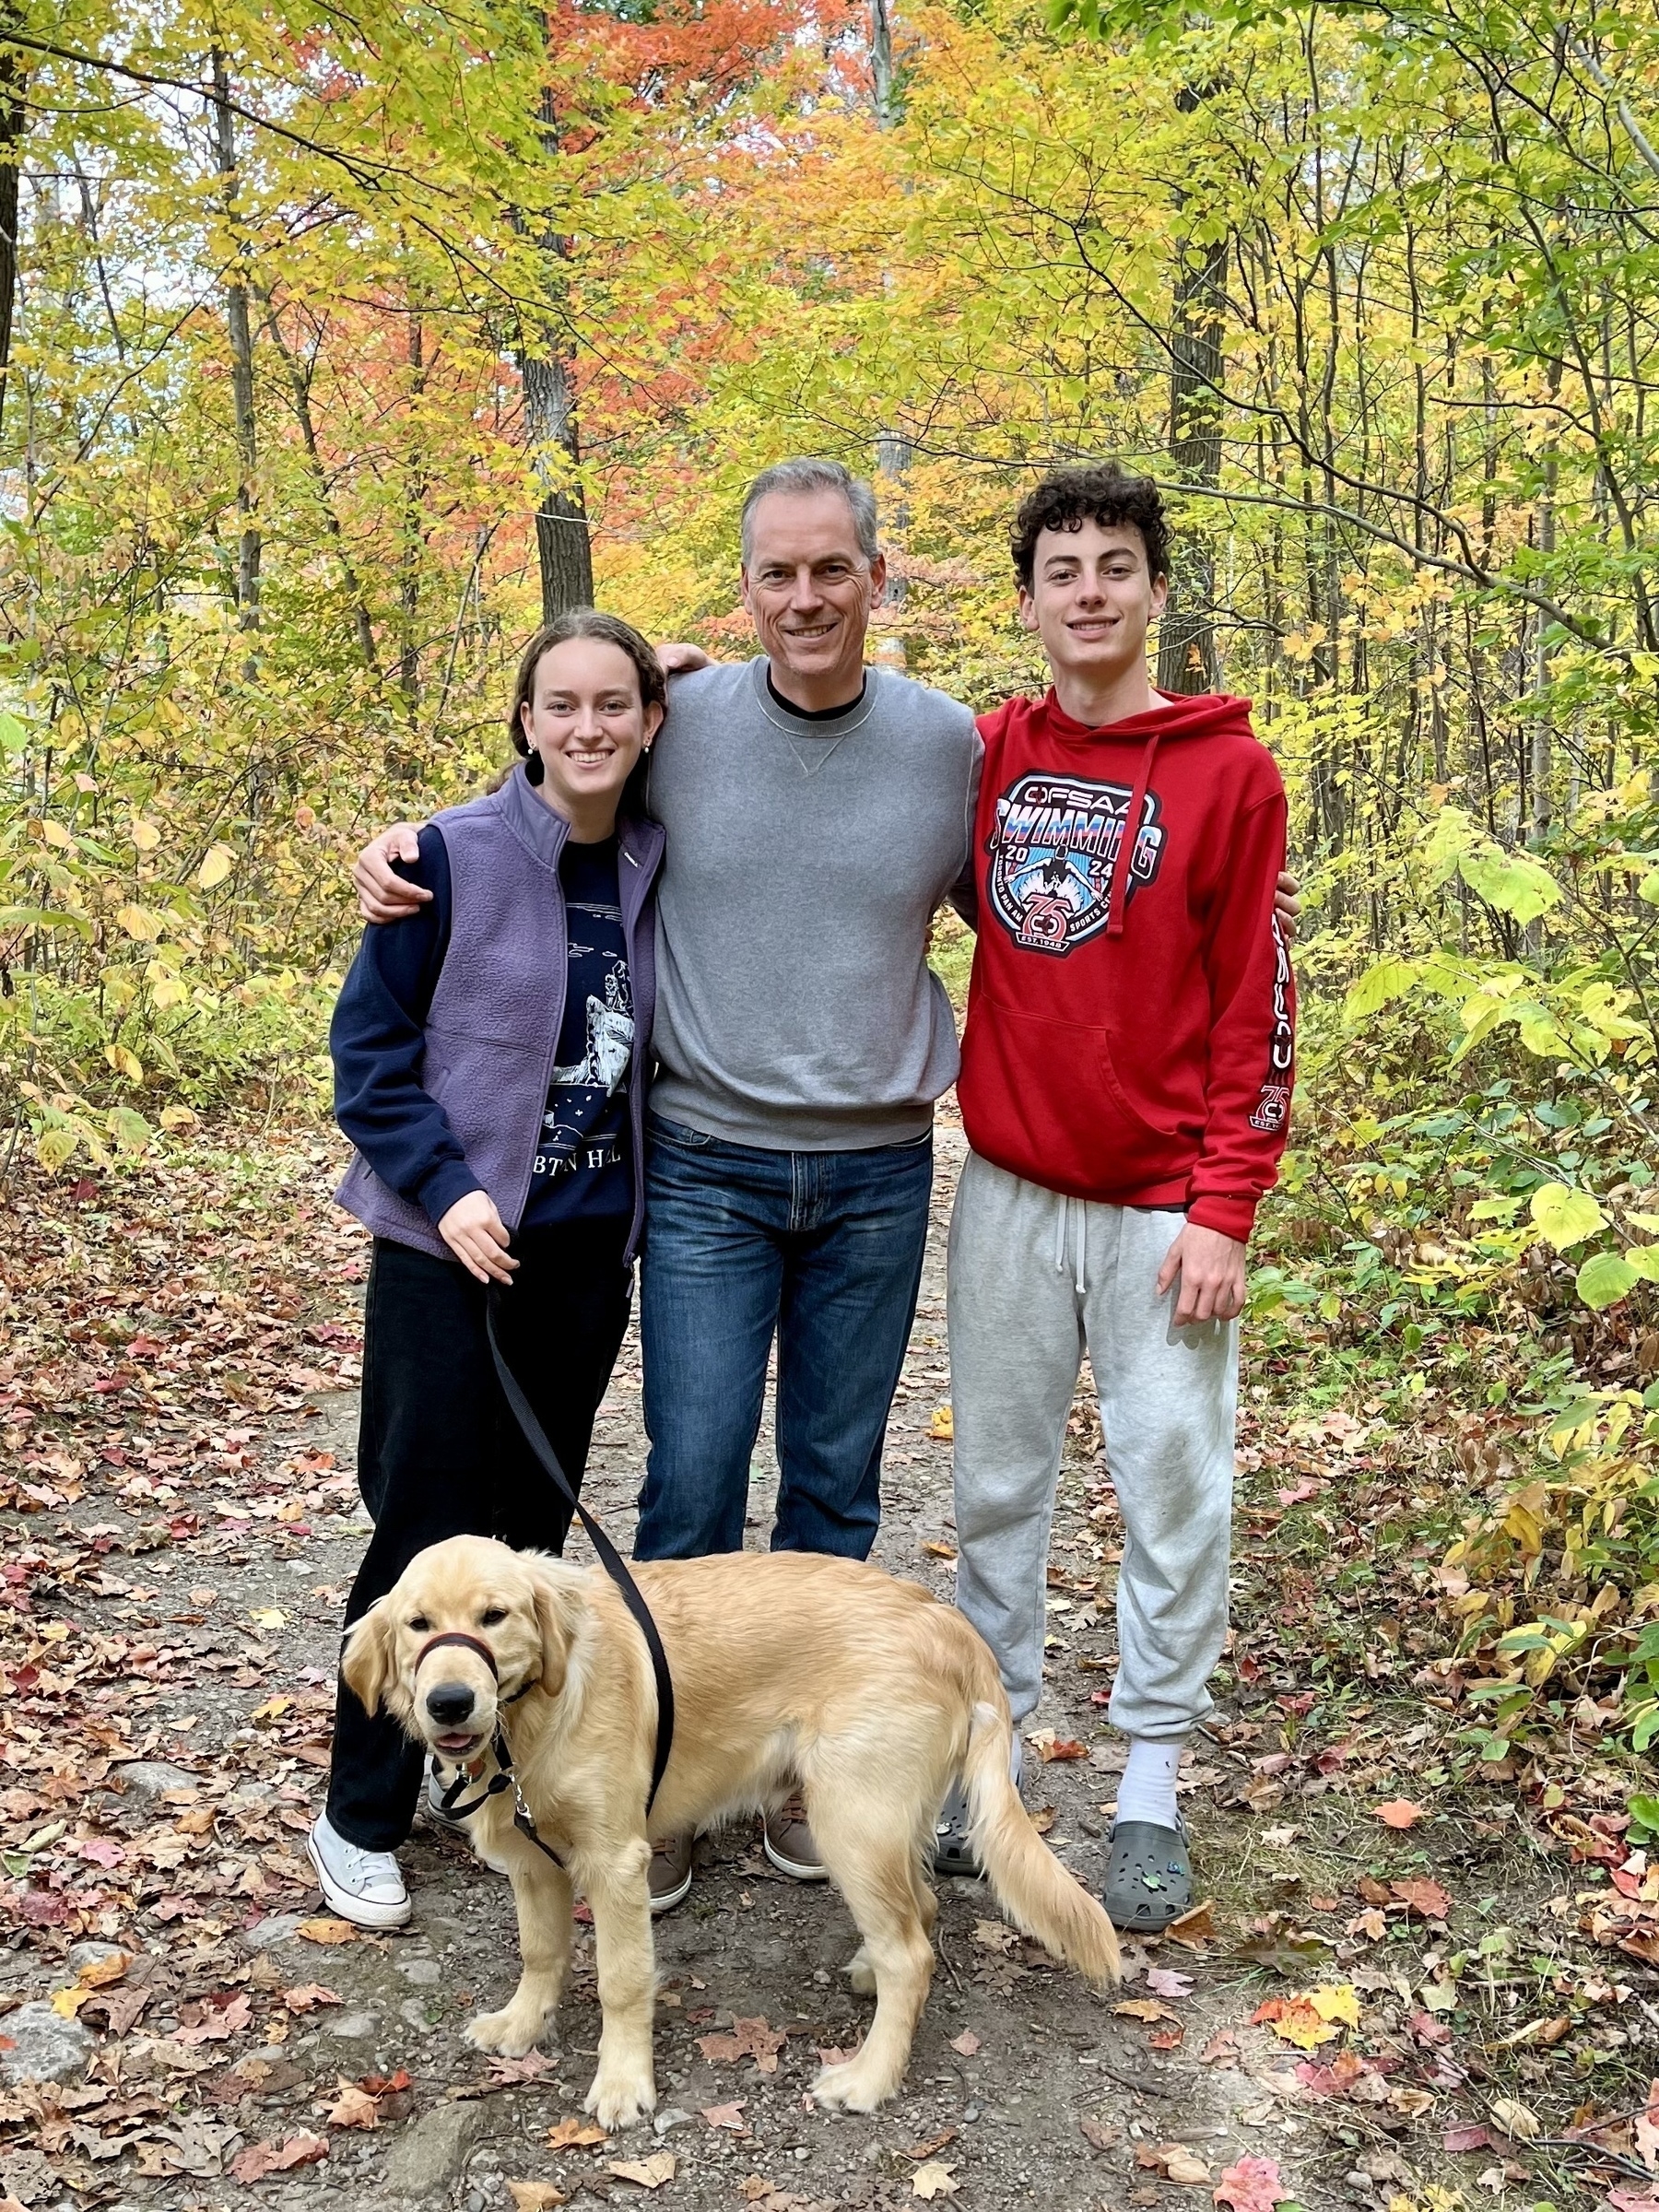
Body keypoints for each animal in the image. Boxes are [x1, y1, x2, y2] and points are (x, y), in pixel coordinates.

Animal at [347, 1539, 1132, 2124]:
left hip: (849, 1820)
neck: (534, 1716)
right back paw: (866, 1973)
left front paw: (623, 2083)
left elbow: (621, 1980)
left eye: (495, 1615)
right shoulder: (534, 1860)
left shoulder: (615, 1861)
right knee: (922, 1911)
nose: (450, 1702)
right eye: (418, 1625)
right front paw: (520, 2024)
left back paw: (869, 2078)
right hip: (880, 1823)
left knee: (912, 1954)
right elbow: (540, 1952)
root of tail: (953, 1626)